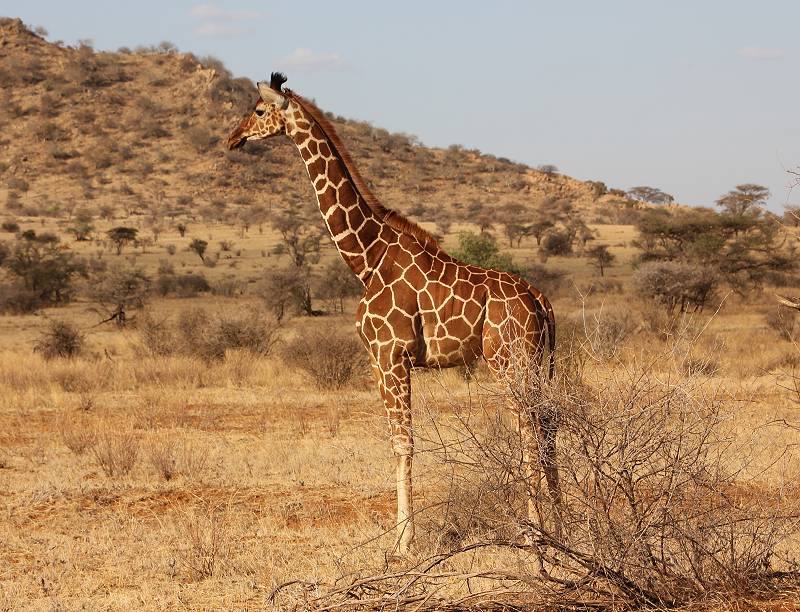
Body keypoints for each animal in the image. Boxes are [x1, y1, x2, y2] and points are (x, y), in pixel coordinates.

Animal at [228, 73, 560, 556]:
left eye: (256, 110)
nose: (231, 138)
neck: (366, 257)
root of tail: (540, 299)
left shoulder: (391, 353)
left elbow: (403, 443)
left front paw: (404, 543)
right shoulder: (377, 359)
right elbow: (396, 442)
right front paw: (402, 537)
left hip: (508, 359)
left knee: (530, 429)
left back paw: (536, 532)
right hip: (537, 362)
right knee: (548, 425)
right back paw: (560, 522)